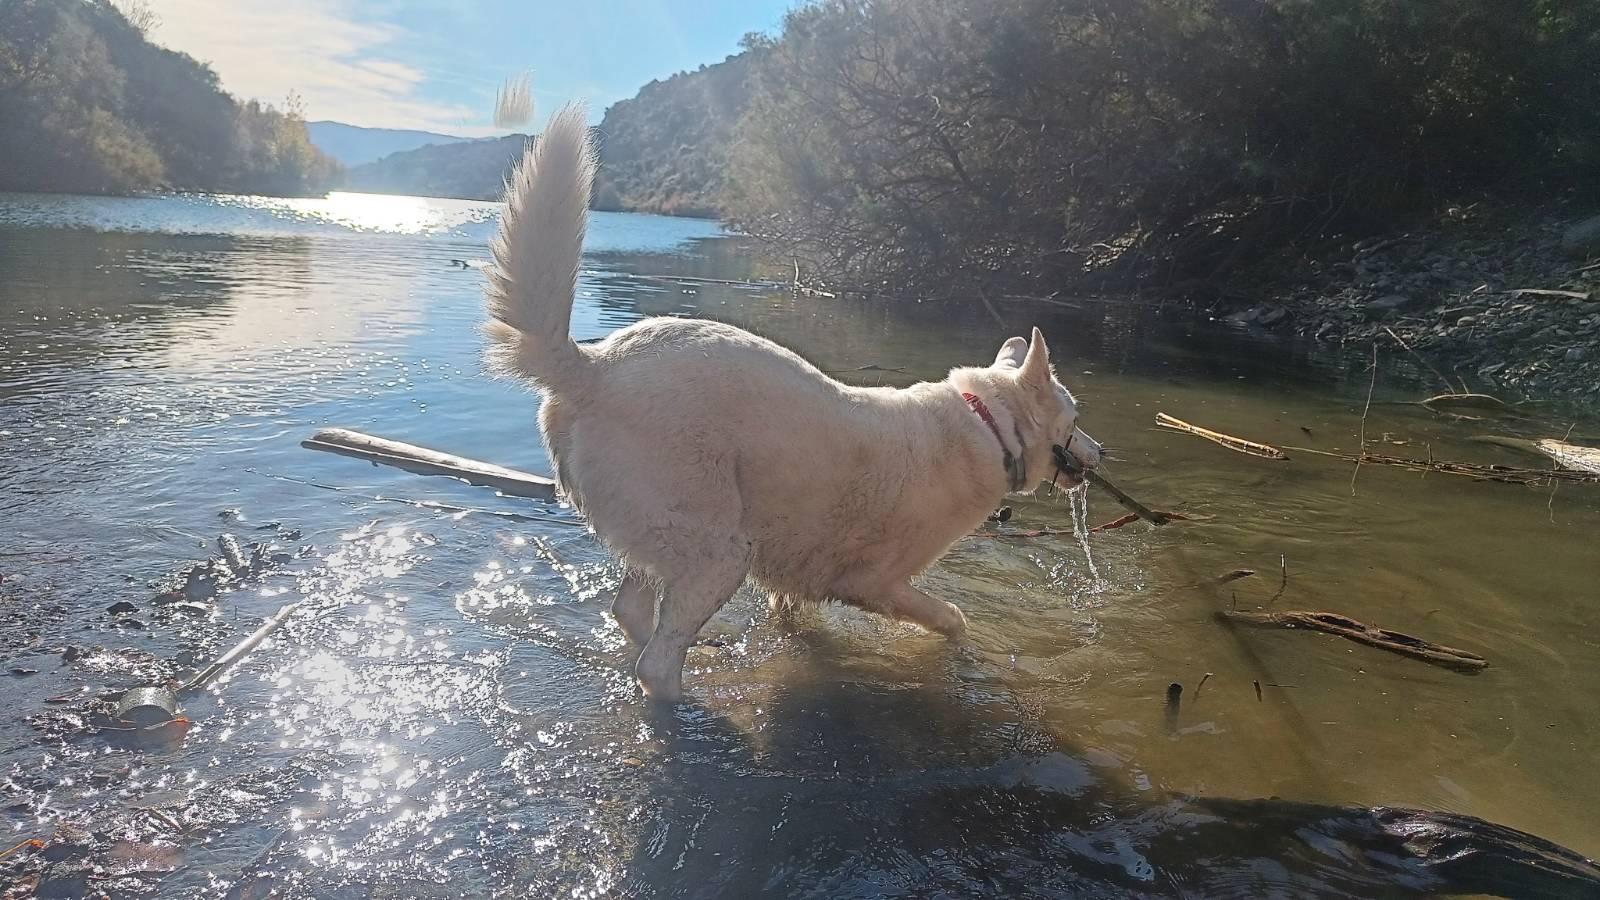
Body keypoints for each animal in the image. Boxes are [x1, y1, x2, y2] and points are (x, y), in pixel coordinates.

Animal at [483, 101, 1100, 698]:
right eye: (1075, 418)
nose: (1101, 454)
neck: (990, 424)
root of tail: (594, 368)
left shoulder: (799, 578)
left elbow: (794, 616)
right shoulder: (875, 582)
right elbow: (952, 617)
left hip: (667, 535)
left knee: (630, 611)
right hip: (720, 550)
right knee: (655, 666)